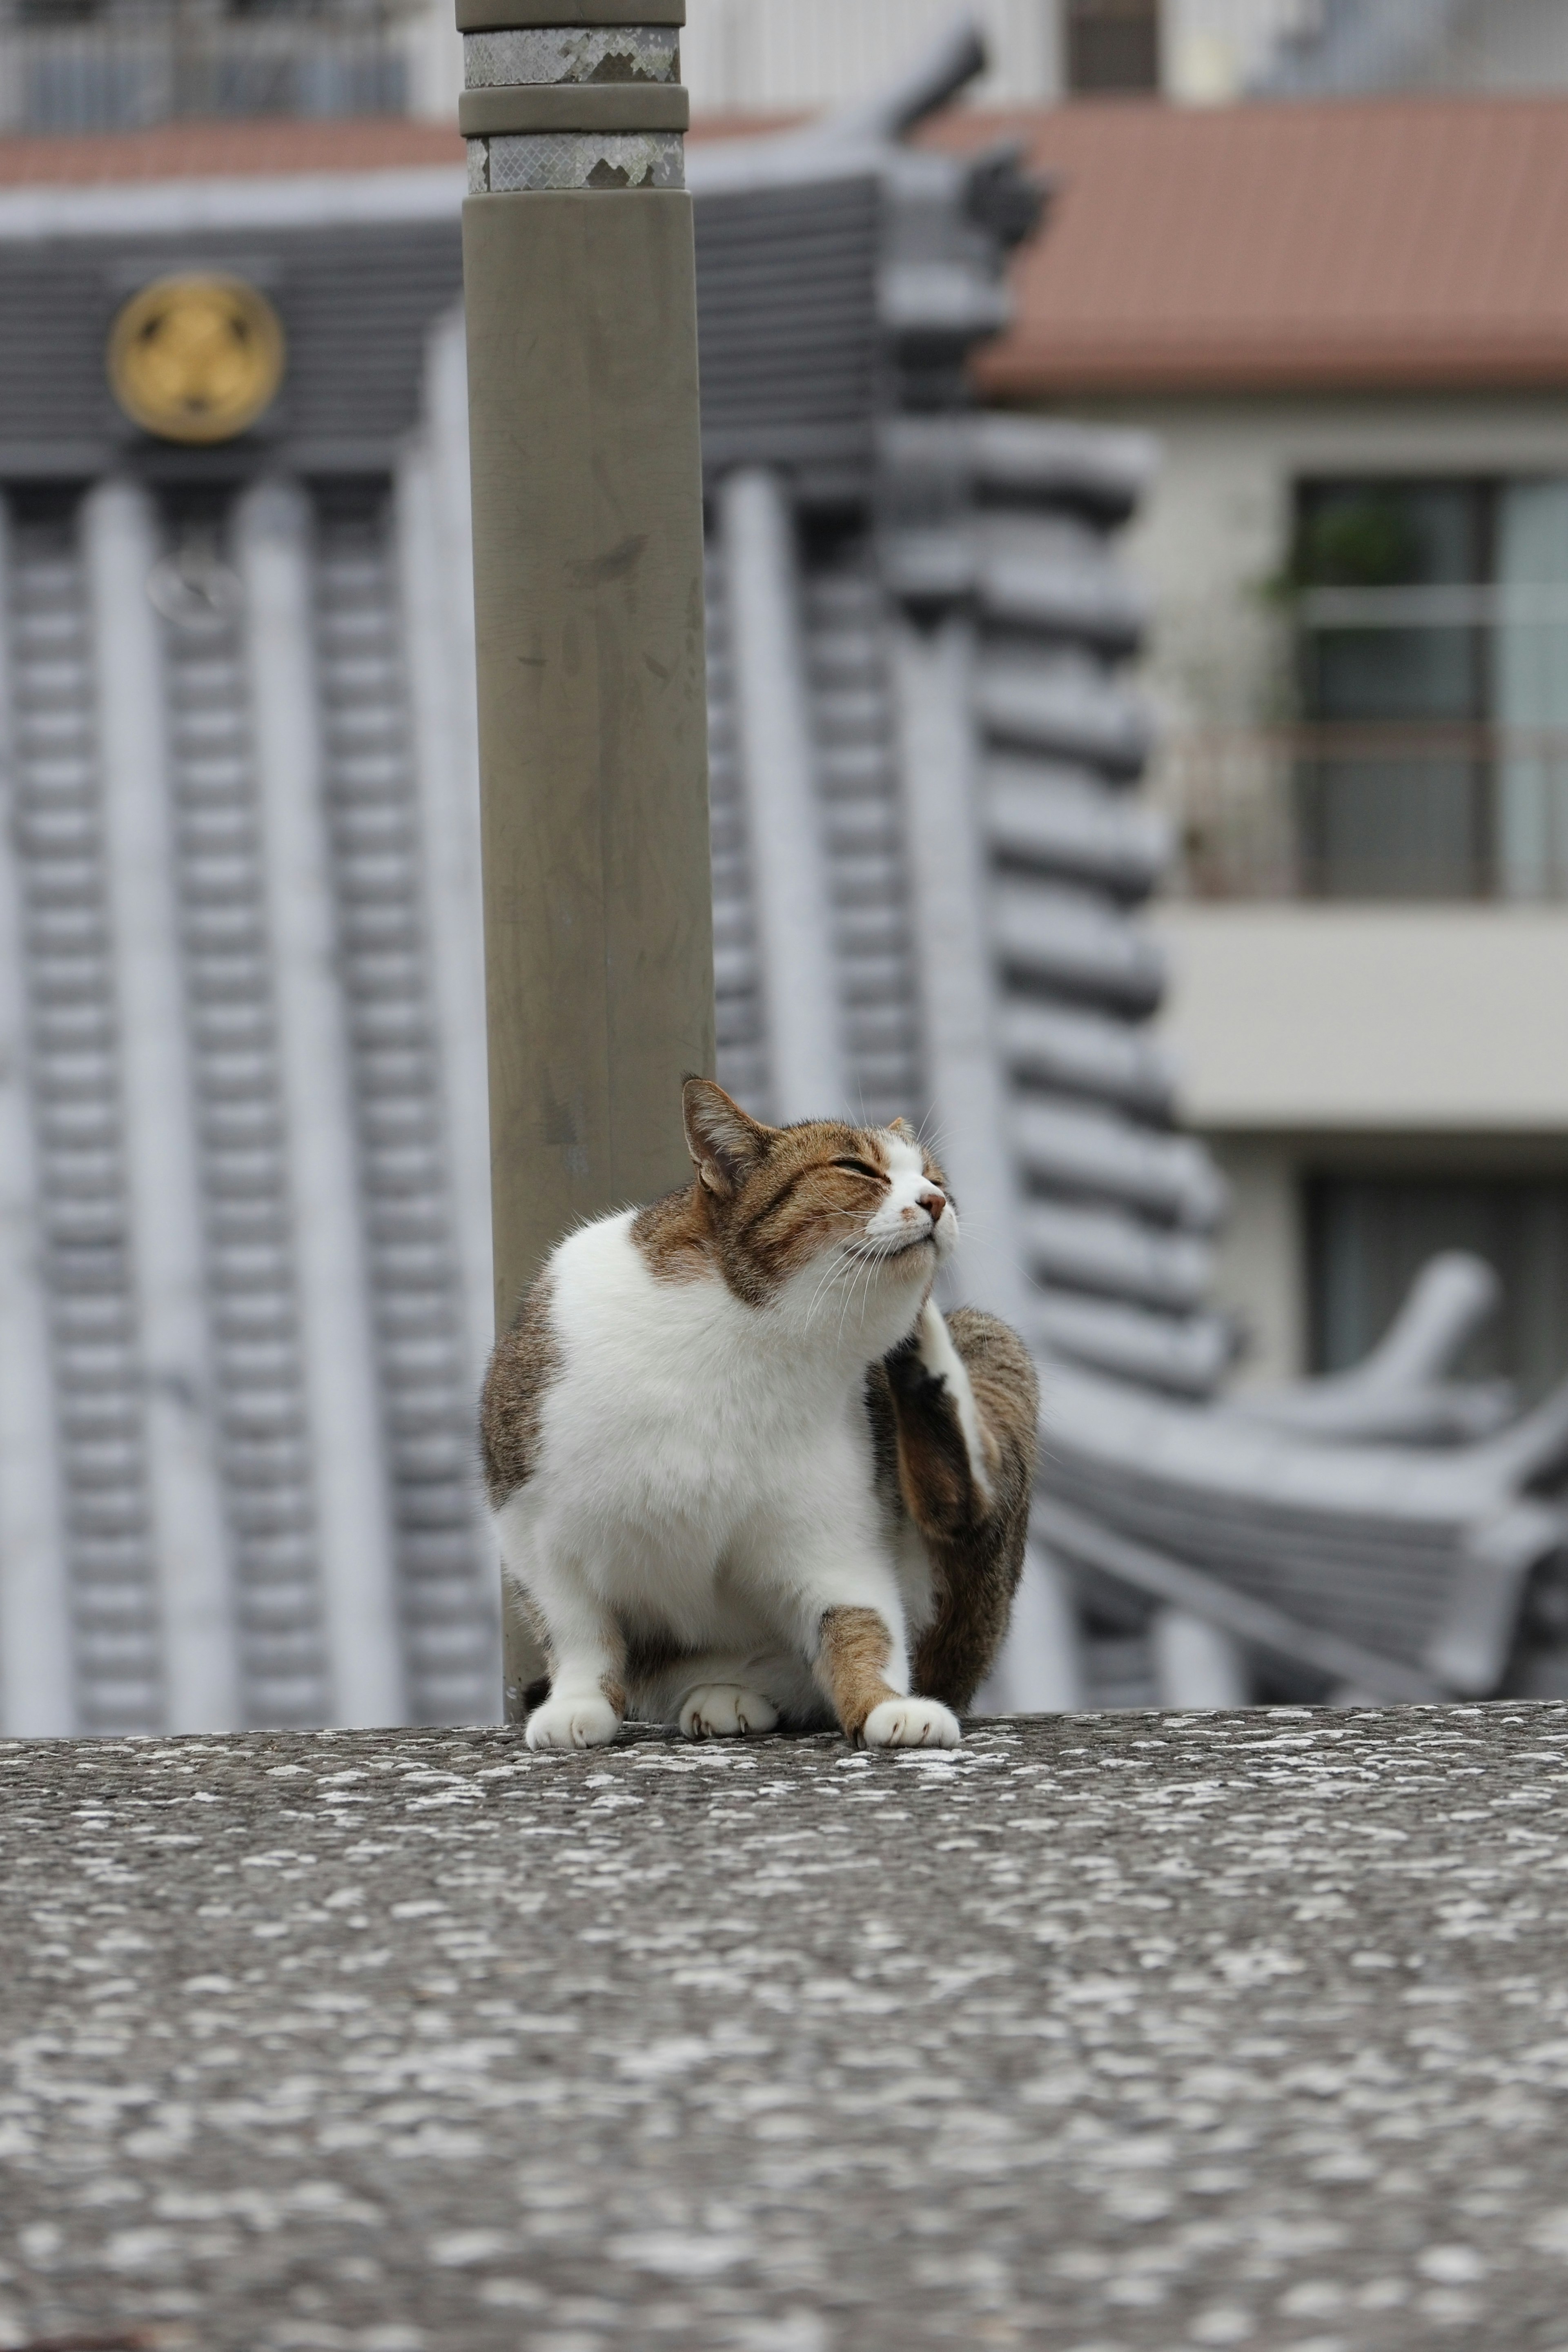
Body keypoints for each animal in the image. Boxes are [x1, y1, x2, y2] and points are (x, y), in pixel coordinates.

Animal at [479, 1077, 1044, 1750]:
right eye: (856, 1168)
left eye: (935, 1177)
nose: (938, 1201)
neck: (748, 1336)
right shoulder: (531, 1525)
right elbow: (578, 1631)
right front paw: (576, 1705)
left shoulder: (829, 1535)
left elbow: (860, 1623)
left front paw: (885, 1704)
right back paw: (724, 1694)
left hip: (989, 1346)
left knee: (961, 1506)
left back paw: (921, 1350)